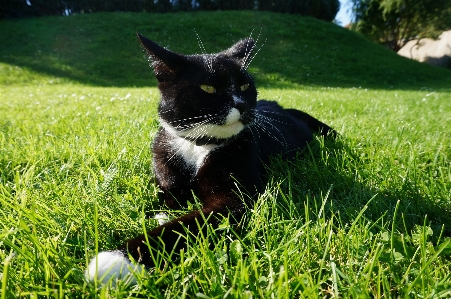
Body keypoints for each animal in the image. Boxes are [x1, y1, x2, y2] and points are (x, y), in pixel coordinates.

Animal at [85, 32, 336, 286]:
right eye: (208, 88)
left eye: (245, 85)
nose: (241, 104)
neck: (198, 146)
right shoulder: (165, 168)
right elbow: (167, 198)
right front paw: (160, 215)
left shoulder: (232, 199)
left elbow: (185, 226)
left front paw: (118, 259)